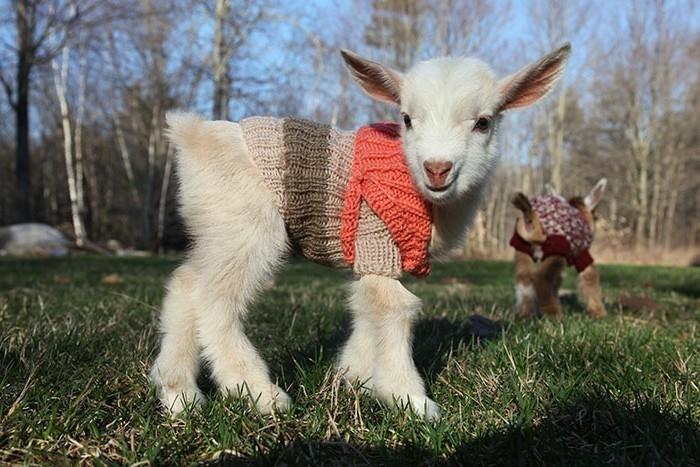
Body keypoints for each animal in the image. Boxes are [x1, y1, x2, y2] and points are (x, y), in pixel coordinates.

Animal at [150, 44, 572, 420]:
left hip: (217, 229)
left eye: (483, 122)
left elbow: (367, 308)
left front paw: (354, 377)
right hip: (248, 228)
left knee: (186, 284)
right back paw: (260, 394)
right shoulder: (377, 238)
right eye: (406, 118)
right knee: (214, 299)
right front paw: (410, 400)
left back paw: (179, 395)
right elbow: (394, 307)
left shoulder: (377, 258)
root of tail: (193, 136)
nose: (437, 168)